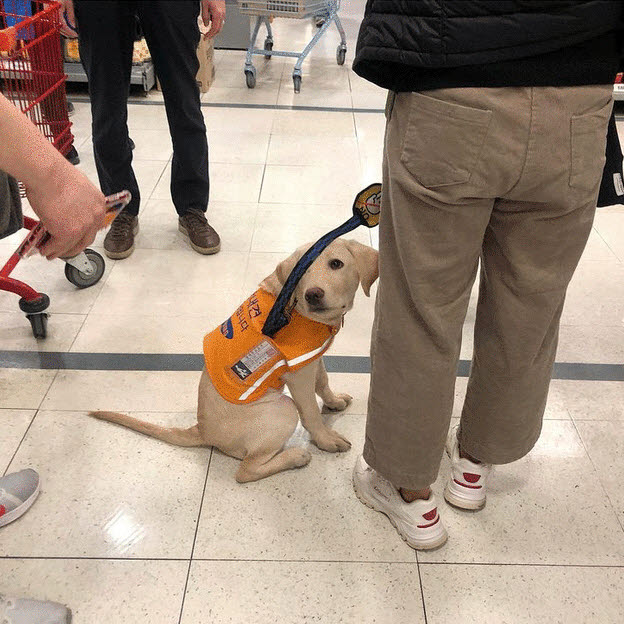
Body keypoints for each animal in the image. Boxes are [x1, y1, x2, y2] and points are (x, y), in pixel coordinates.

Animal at [90, 239, 378, 482]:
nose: (313, 294)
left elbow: (324, 382)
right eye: (301, 272)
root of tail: (202, 430)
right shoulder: (298, 374)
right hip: (283, 409)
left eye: (336, 264)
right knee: (245, 471)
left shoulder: (313, 358)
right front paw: (326, 440)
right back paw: (296, 456)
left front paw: (334, 401)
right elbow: (311, 413)